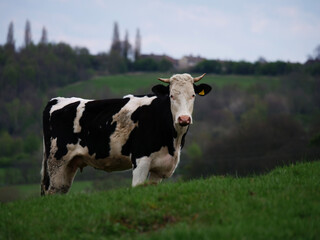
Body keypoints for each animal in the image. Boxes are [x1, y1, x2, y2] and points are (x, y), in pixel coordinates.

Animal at [41, 73, 211, 195]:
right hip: (56, 162)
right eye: (171, 96)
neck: (172, 142)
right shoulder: (141, 160)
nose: (184, 119)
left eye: (193, 95)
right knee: (51, 192)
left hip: (69, 165)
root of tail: (56, 100)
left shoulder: (160, 168)